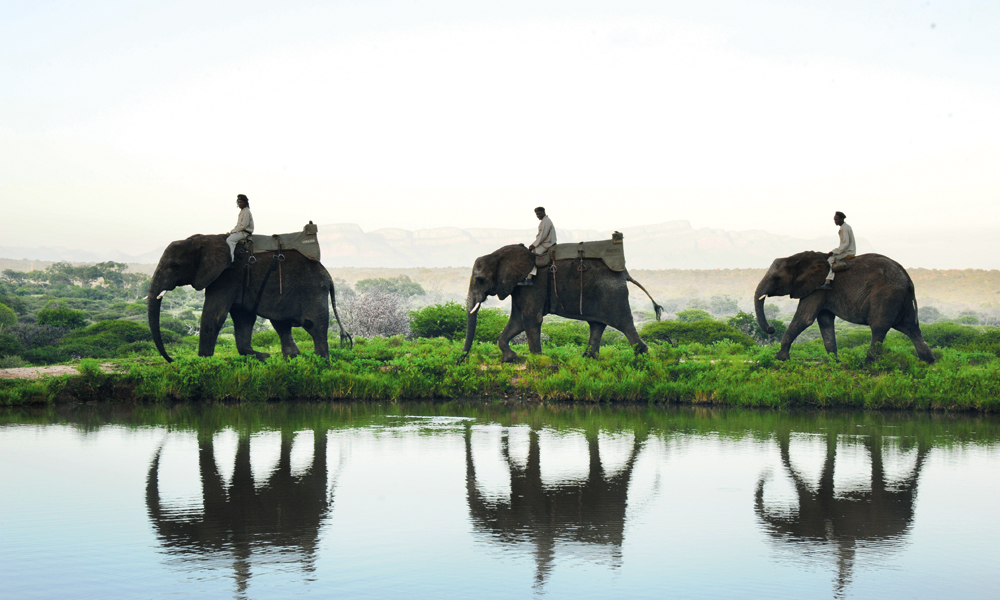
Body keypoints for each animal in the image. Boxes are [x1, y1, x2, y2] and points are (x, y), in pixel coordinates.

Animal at [146, 233, 352, 364]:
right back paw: (291, 361)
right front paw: (263, 356)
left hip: (313, 291)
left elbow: (214, 316)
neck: (202, 238)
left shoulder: (226, 276)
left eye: (174, 266)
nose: (172, 360)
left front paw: (203, 363)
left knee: (314, 325)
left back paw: (321, 364)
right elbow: (243, 318)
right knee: (281, 324)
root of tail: (329, 277)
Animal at [460, 243, 664, 360]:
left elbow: (530, 319)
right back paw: (588, 357)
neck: (498, 254)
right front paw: (510, 358)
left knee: (623, 323)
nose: (460, 360)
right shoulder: (519, 285)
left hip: (613, 294)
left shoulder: (532, 284)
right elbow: (517, 321)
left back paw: (643, 357)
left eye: (480, 280)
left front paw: (538, 360)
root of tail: (624, 273)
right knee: (596, 324)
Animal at [752, 252, 932, 364]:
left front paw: (780, 358)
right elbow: (825, 321)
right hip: (900, 300)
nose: (772, 329)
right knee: (910, 327)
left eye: (776, 278)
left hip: (886, 296)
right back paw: (928, 361)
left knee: (879, 327)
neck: (796, 257)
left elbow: (804, 318)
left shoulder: (818, 287)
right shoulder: (822, 291)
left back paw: (866, 363)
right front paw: (834, 361)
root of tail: (909, 281)